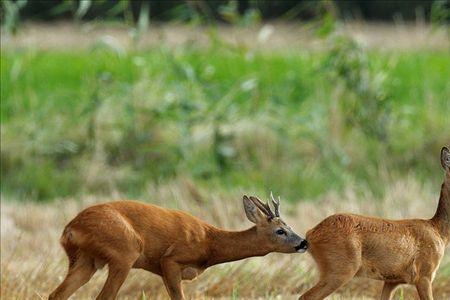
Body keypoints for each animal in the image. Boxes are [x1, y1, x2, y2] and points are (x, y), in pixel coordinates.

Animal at [50, 193, 310, 298]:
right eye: (280, 230)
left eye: (288, 225)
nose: (304, 242)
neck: (209, 243)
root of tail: (71, 228)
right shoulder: (170, 260)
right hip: (124, 252)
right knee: (104, 297)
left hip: (86, 260)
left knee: (57, 294)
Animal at [298, 147, 450, 300]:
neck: (439, 232)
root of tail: (310, 234)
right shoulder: (424, 274)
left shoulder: (392, 280)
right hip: (340, 268)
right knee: (307, 296)